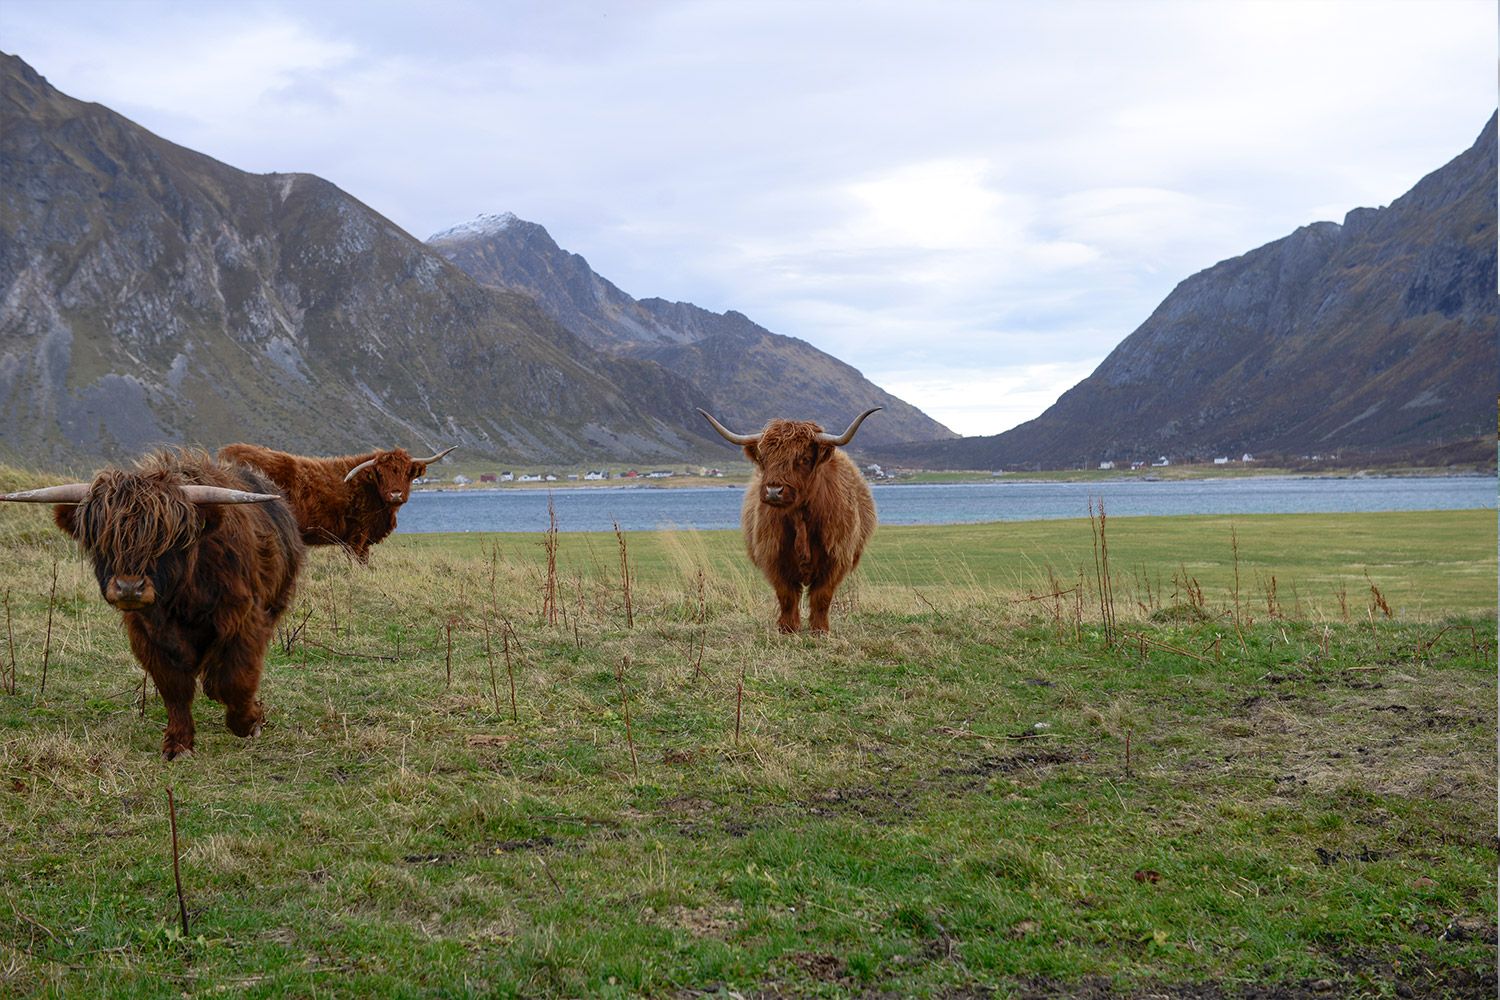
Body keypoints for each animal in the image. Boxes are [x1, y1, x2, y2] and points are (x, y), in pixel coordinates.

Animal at [0, 452, 304, 758]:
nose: (128, 587)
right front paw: (178, 743)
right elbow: (174, 688)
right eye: (103, 538)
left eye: (165, 539)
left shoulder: (244, 620)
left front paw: (249, 722)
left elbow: (235, 679)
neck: (182, 597)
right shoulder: (147, 634)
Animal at [214, 446, 453, 563]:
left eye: (406, 473)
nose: (395, 494)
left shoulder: (363, 538)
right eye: (380, 474)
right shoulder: (356, 536)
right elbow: (356, 561)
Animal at [699, 407, 882, 632]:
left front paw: (820, 630)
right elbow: (787, 595)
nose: (773, 491)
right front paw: (788, 628)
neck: (800, 518)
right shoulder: (774, 555)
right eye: (764, 458)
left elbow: (822, 596)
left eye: (803, 459)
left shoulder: (836, 558)